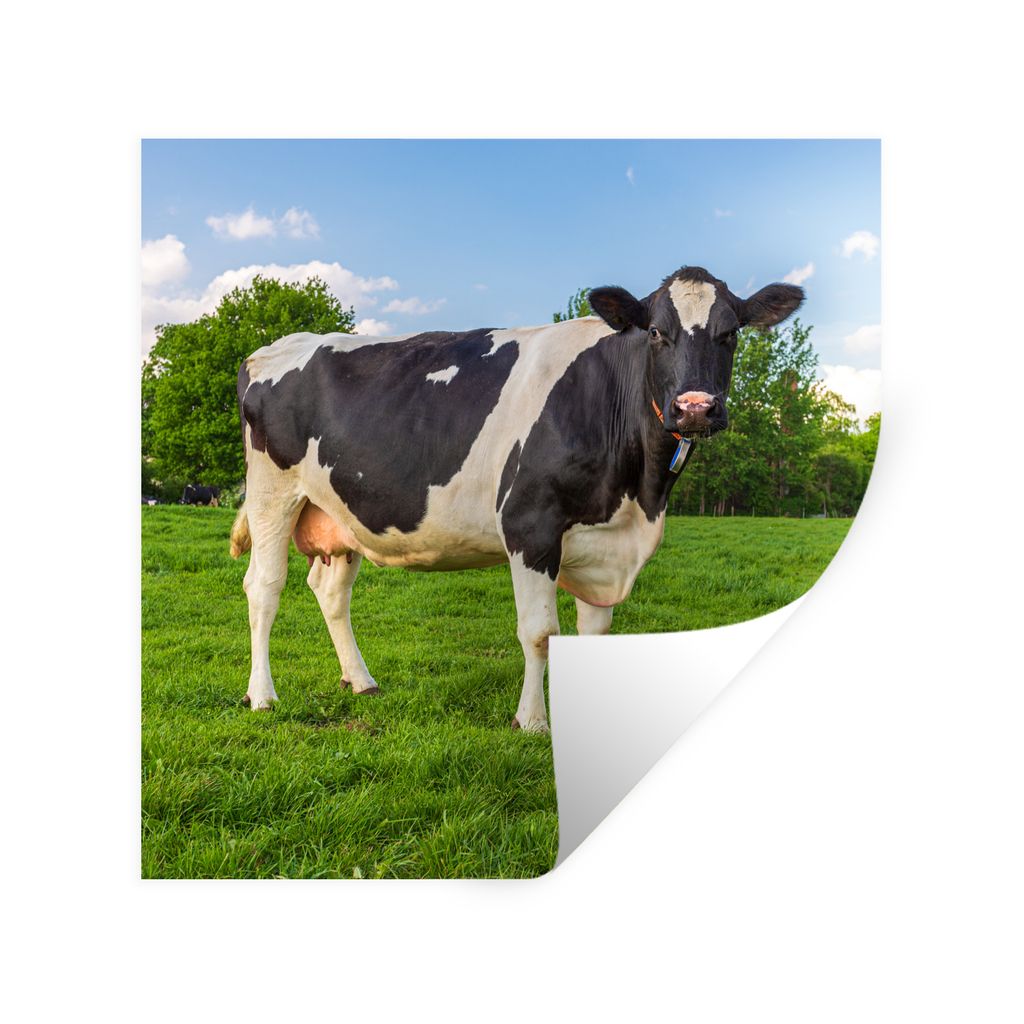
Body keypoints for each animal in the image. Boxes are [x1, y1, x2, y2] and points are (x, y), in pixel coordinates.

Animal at [229, 266, 803, 731]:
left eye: (731, 334)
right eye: (657, 332)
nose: (695, 408)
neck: (639, 495)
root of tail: (270, 348)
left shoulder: (602, 542)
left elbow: (594, 633)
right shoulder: (532, 524)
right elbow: (541, 633)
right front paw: (531, 722)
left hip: (342, 510)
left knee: (330, 591)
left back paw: (361, 680)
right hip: (273, 494)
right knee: (264, 587)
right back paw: (262, 695)